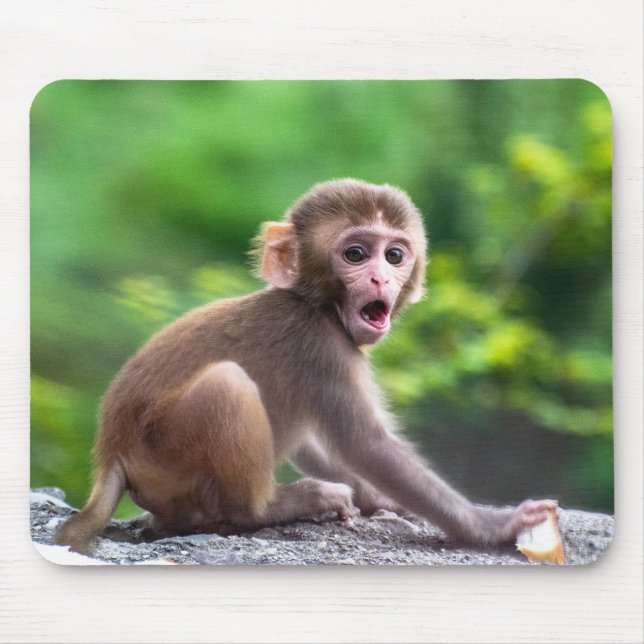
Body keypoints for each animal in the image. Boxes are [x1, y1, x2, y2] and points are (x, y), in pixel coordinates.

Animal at [55, 178, 557, 555]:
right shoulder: (322, 347)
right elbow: (365, 444)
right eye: (356, 254)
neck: (316, 305)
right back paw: (274, 507)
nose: (380, 278)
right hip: (166, 454)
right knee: (228, 385)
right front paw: (492, 525)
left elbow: (319, 443)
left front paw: (376, 498)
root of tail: (112, 453)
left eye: (394, 255)